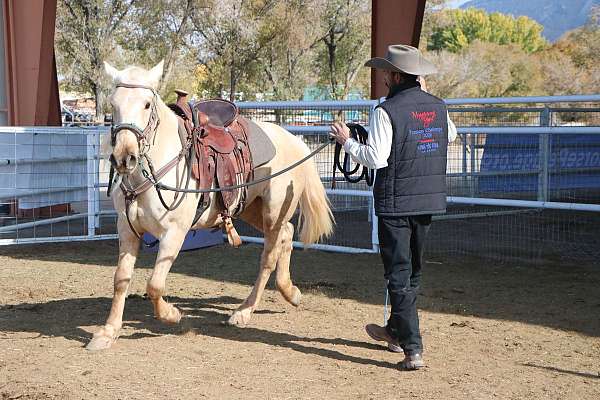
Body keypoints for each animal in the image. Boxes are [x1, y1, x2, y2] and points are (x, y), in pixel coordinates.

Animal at [87, 60, 336, 350]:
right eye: (112, 104)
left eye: (147, 104)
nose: (124, 158)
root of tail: (295, 140)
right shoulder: (127, 229)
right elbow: (120, 280)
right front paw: (107, 332)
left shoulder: (174, 232)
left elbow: (155, 284)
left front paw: (172, 314)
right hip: (252, 209)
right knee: (286, 235)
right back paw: (291, 292)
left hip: (273, 212)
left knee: (269, 256)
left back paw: (244, 312)